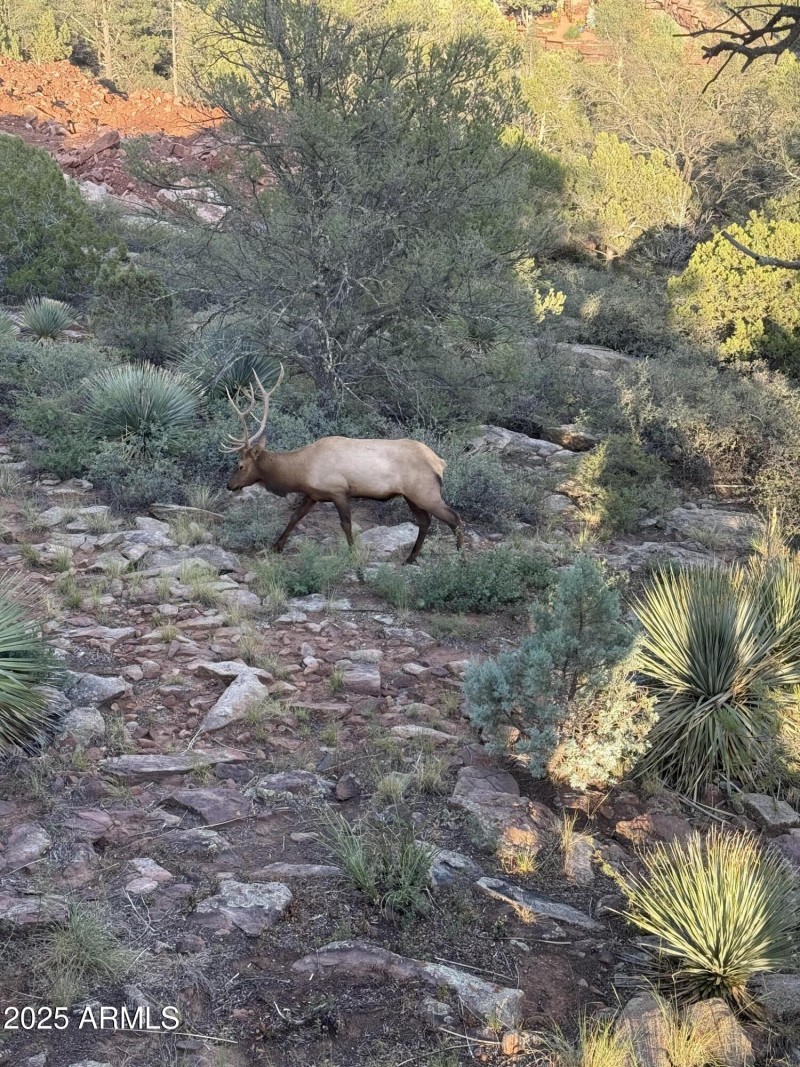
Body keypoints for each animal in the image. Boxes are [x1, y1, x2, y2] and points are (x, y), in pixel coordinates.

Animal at [221, 366, 465, 565]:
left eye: (240, 465)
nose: (229, 485)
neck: (301, 471)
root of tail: (439, 462)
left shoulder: (338, 490)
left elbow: (346, 524)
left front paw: (353, 553)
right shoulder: (313, 494)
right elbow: (294, 517)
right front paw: (277, 546)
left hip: (424, 491)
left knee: (454, 518)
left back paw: (461, 559)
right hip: (411, 495)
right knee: (425, 521)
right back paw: (410, 558)